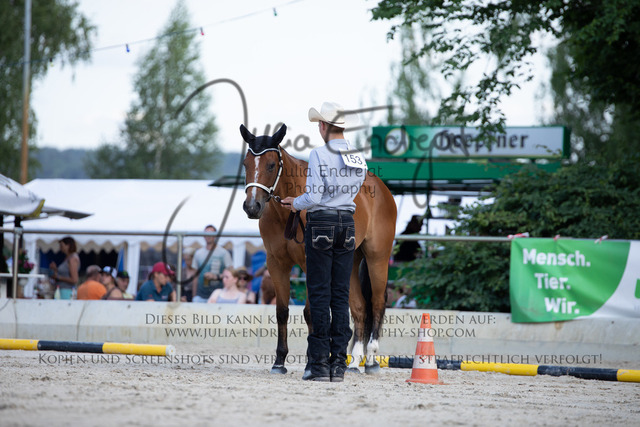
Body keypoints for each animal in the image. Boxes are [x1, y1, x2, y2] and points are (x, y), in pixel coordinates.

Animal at [240, 123, 397, 374]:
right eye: (246, 164)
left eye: (271, 165)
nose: (252, 207)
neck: (288, 213)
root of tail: (382, 189)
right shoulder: (276, 263)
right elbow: (282, 311)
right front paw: (279, 362)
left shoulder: (309, 262)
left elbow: (310, 311)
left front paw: (311, 363)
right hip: (350, 262)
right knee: (360, 307)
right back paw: (353, 362)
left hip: (377, 257)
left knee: (378, 301)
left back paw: (371, 359)